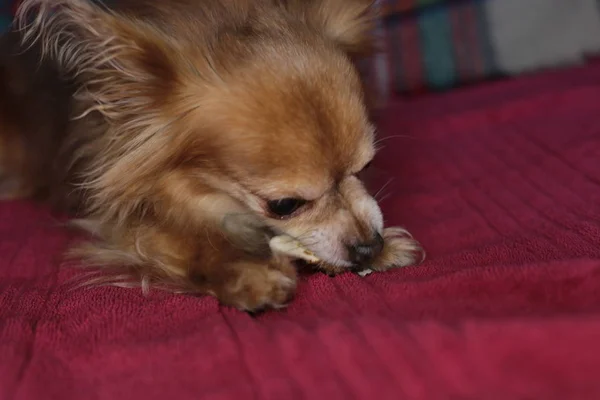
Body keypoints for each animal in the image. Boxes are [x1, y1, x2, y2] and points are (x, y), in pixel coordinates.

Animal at [0, 0, 422, 310]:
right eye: (284, 205)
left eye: (366, 167)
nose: (369, 246)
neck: (201, 193)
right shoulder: (119, 221)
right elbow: (189, 244)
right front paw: (246, 273)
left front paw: (381, 249)